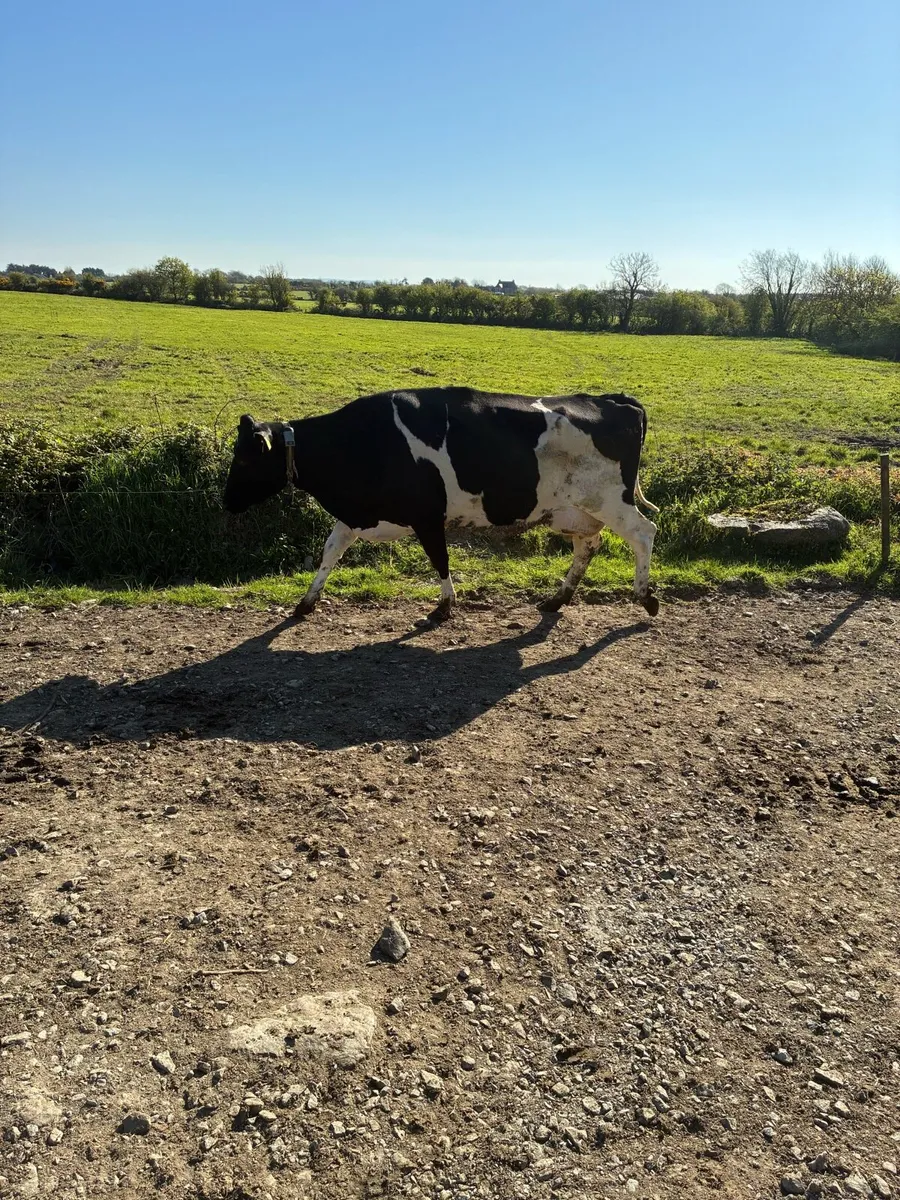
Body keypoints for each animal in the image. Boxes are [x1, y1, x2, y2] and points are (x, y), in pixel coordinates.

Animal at [222, 386, 660, 622]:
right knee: (588, 546)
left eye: (243, 460)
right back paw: (558, 599)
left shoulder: (427, 515)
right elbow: (329, 553)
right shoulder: (355, 515)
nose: (226, 503)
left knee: (644, 532)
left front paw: (446, 606)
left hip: (609, 500)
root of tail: (615, 399)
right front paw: (306, 603)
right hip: (576, 510)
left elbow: (440, 559)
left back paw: (644, 597)